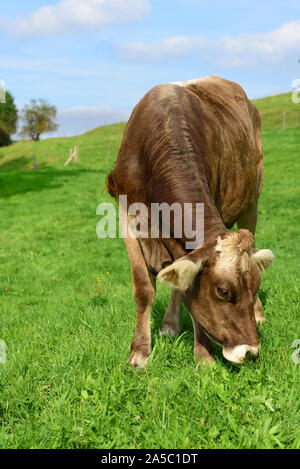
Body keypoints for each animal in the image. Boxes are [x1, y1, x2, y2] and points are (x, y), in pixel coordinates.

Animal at [107, 74, 274, 366]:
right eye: (223, 291)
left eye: (256, 286)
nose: (251, 351)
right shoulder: (126, 216)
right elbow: (144, 288)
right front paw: (139, 353)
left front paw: (204, 356)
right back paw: (169, 326)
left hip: (252, 199)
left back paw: (259, 314)